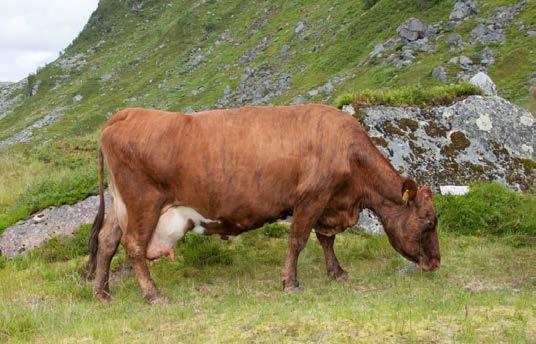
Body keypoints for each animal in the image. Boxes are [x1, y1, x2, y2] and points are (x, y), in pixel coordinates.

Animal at [87, 105, 440, 304]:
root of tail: (126, 114)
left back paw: (103, 293)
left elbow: (326, 240)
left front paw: (337, 273)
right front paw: (291, 283)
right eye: (428, 222)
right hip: (143, 201)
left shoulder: (327, 204)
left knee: (106, 242)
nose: (436, 263)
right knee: (133, 246)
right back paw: (153, 295)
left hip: (121, 204)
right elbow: (298, 240)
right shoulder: (312, 197)